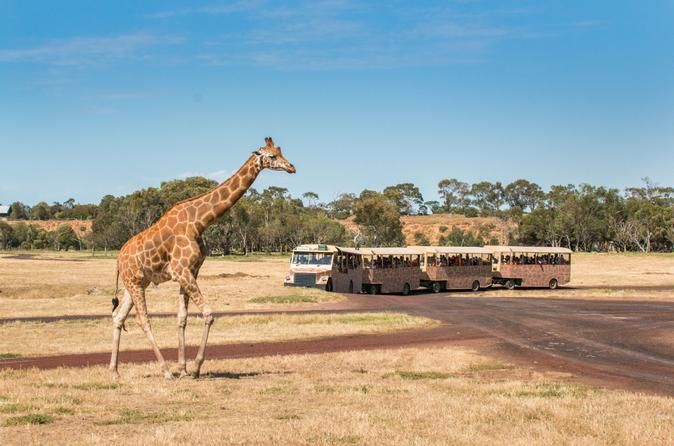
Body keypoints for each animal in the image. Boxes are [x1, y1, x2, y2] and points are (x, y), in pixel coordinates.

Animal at [109, 137, 294, 380]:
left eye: (280, 151)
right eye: (271, 156)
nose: (292, 167)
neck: (199, 222)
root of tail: (118, 261)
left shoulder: (191, 271)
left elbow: (182, 318)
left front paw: (184, 368)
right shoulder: (181, 271)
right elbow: (208, 314)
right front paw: (195, 367)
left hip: (137, 283)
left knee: (118, 317)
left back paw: (114, 370)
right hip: (134, 283)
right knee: (143, 320)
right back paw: (165, 371)